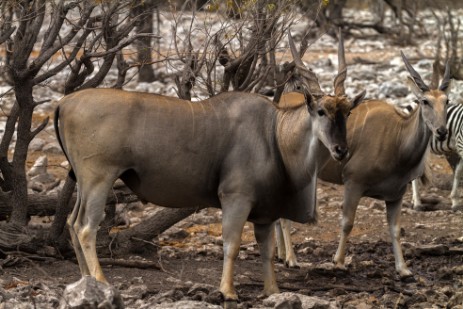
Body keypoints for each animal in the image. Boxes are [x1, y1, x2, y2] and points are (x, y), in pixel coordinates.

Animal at [54, 33, 366, 300]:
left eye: (348, 113)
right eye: (321, 111)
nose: (341, 150)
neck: (275, 133)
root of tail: (64, 102)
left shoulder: (265, 214)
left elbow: (266, 251)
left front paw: (273, 291)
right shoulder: (236, 199)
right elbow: (232, 245)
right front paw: (227, 291)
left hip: (84, 182)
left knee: (72, 222)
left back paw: (87, 283)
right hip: (99, 178)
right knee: (85, 227)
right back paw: (102, 282)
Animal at [278, 51, 452, 276]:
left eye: (447, 101)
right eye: (424, 101)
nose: (442, 131)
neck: (397, 138)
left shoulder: (396, 194)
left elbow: (395, 230)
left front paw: (403, 269)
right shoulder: (353, 182)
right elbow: (347, 223)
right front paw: (338, 261)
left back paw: (281, 254)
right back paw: (291, 259)